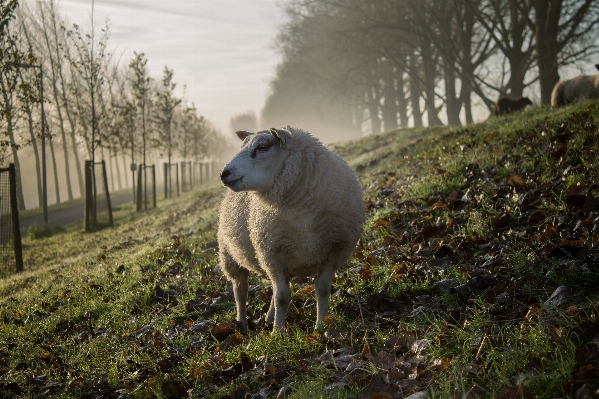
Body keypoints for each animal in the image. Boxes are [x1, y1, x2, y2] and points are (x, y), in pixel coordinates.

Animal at [217, 126, 364, 332]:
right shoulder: (272, 254)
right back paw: (243, 325)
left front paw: (321, 326)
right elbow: (282, 297)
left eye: (262, 147)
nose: (224, 173)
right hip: (230, 256)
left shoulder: (334, 251)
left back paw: (269, 317)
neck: (302, 218)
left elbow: (322, 289)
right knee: (240, 290)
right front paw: (278, 332)